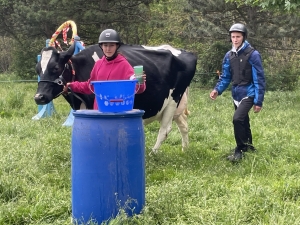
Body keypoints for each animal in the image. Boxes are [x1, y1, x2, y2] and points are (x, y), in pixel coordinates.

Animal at [34, 43, 197, 152]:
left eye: (55, 67)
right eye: (37, 69)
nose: (39, 97)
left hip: (173, 99)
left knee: (165, 129)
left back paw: (153, 153)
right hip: (176, 105)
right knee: (184, 125)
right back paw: (185, 150)